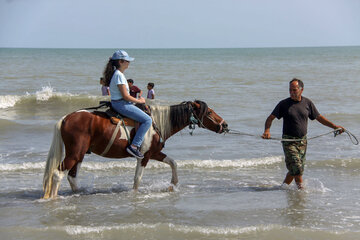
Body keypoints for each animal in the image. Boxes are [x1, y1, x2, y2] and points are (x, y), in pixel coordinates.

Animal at [42, 100, 228, 199]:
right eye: (209, 112)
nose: (225, 125)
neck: (156, 123)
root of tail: (66, 118)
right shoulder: (143, 156)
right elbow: (137, 178)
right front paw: (135, 194)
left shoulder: (154, 153)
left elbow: (173, 162)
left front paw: (173, 184)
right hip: (74, 154)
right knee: (58, 174)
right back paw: (53, 198)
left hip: (80, 155)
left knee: (72, 176)